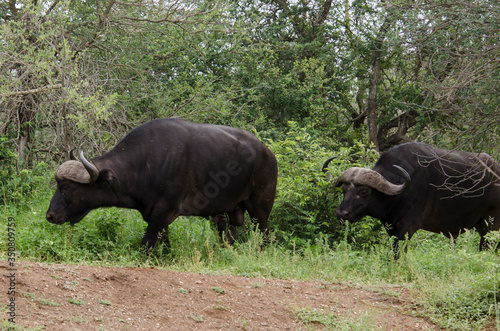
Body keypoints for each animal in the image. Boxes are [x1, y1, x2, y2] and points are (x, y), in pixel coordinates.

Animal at [46, 118, 278, 250]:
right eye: (57, 185)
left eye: (66, 188)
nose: (50, 216)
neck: (145, 163)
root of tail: (268, 153)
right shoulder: (155, 214)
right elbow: (163, 243)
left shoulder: (164, 210)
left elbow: (147, 243)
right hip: (226, 214)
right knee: (228, 236)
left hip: (260, 208)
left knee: (265, 234)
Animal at [324, 143, 500, 256]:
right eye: (344, 189)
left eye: (364, 191)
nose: (341, 213)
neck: (398, 193)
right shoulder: (391, 226)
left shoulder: (408, 225)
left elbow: (398, 251)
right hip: (481, 225)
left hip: (492, 224)